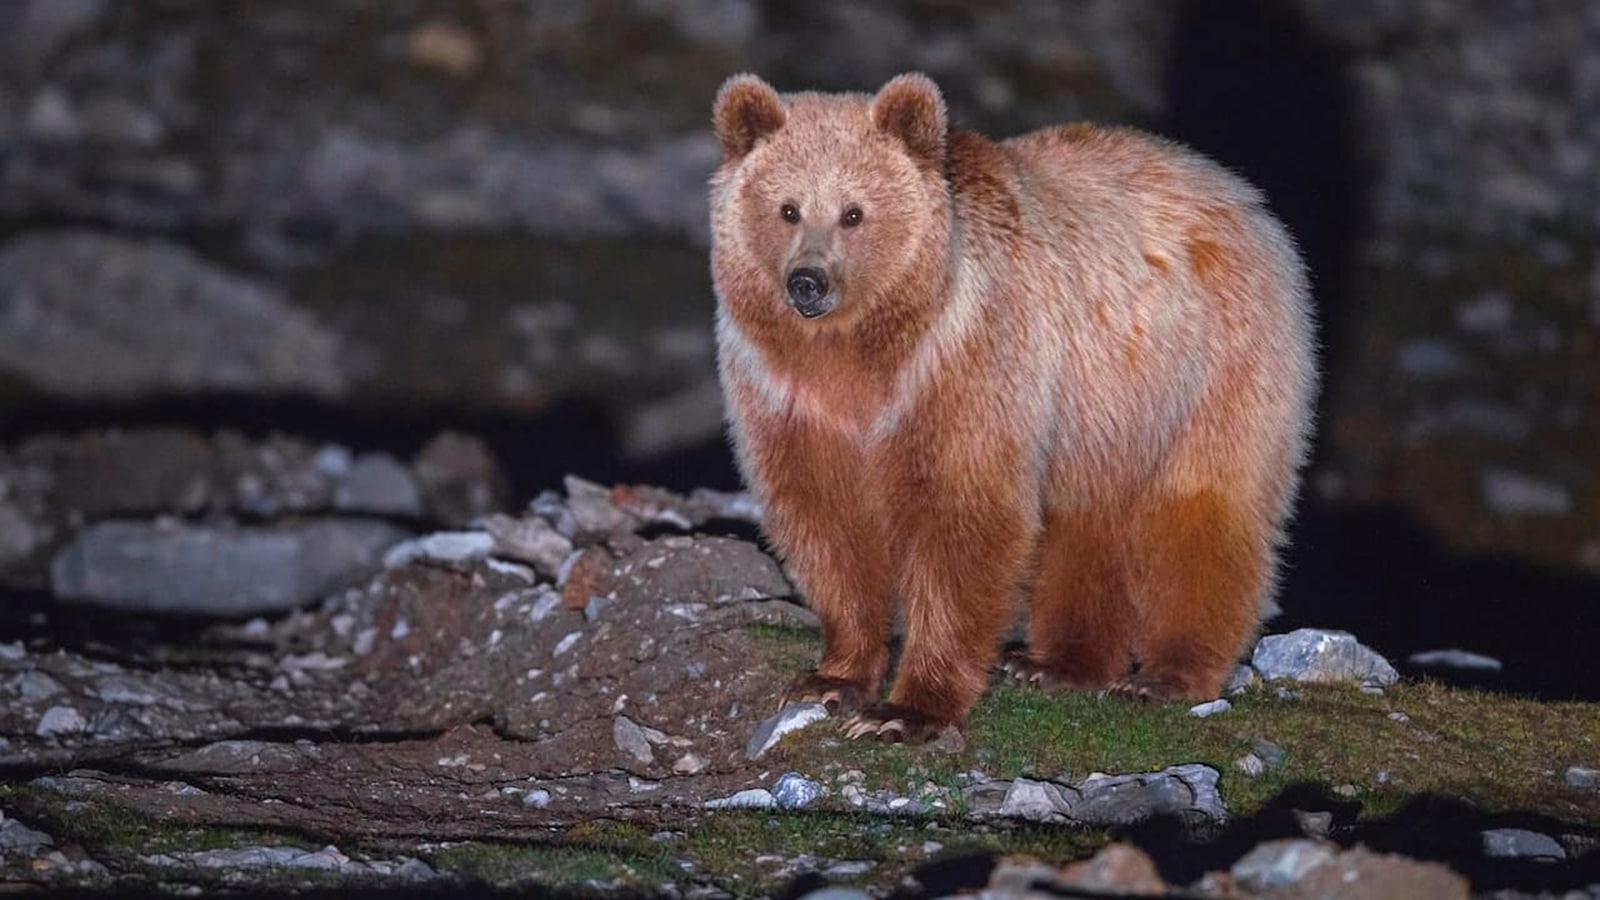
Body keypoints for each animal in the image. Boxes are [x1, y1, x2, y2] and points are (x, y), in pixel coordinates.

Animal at [709, 72, 1317, 742]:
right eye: (787, 208)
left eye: (854, 213)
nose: (808, 282)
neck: (864, 352)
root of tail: (1244, 197)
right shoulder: (788, 397)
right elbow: (826, 522)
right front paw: (832, 678)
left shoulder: (967, 364)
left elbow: (965, 519)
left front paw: (906, 711)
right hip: (1100, 415)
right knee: (1086, 523)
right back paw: (1055, 662)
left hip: (1203, 368)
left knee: (1201, 508)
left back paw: (1165, 675)